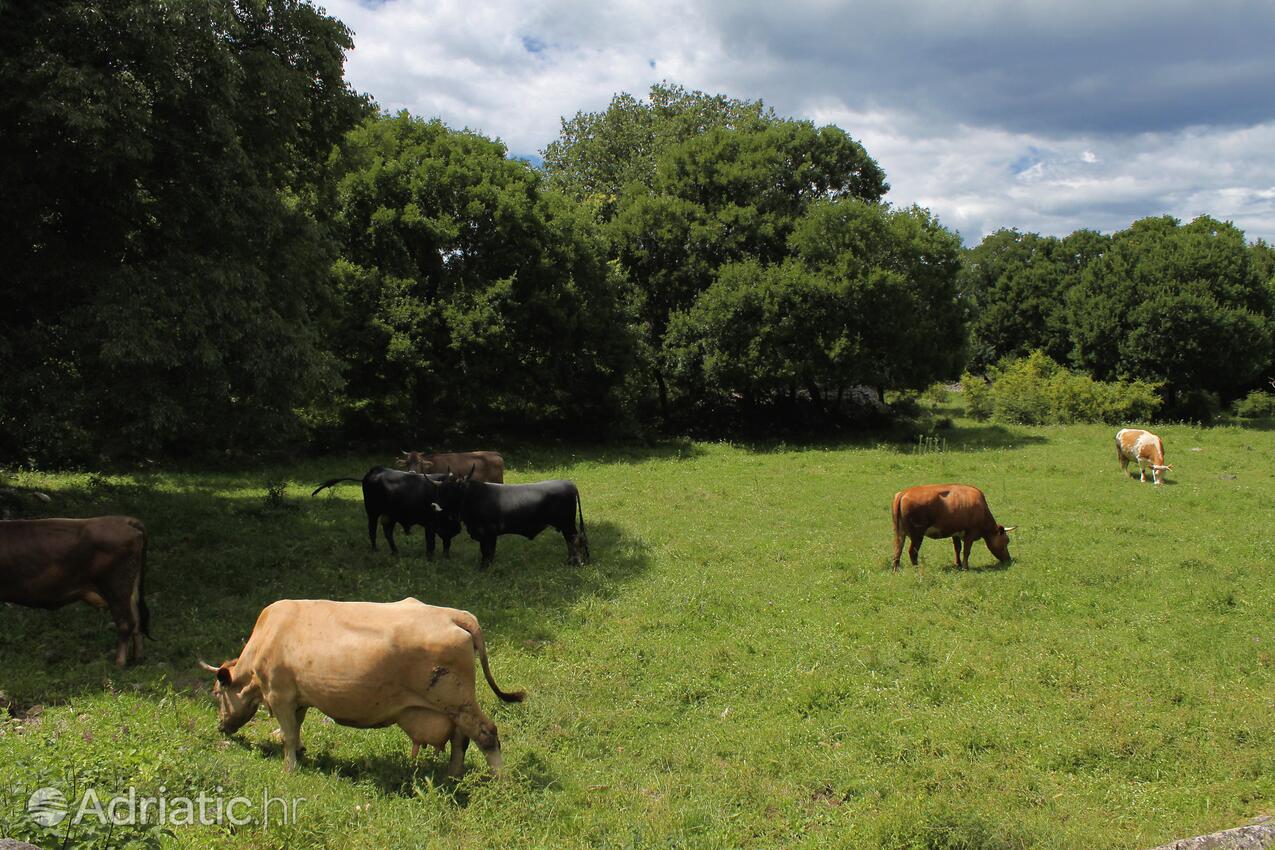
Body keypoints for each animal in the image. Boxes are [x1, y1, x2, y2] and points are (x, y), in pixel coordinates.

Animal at [0, 514, 150, 667]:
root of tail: (125, 520)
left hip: (116, 589)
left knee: (127, 623)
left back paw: (119, 662)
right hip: (129, 591)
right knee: (137, 622)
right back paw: (138, 659)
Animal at [195, 598, 522, 779]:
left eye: (216, 693)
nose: (221, 727)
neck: (268, 635)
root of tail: (454, 615)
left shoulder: (280, 695)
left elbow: (287, 734)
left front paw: (290, 768)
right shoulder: (298, 698)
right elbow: (296, 729)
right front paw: (300, 752)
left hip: (457, 701)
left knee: (485, 734)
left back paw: (501, 781)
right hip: (453, 707)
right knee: (460, 739)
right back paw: (453, 775)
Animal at [311, 466, 461, 558]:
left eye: (457, 492)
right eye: (442, 492)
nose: (437, 506)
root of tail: (374, 471)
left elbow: (446, 542)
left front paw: (446, 556)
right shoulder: (430, 524)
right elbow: (431, 542)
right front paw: (431, 556)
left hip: (390, 515)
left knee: (388, 532)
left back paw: (395, 551)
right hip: (372, 512)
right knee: (372, 530)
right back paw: (375, 550)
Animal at [430, 468, 583, 568]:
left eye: (452, 490)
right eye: (440, 490)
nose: (435, 506)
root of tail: (570, 484)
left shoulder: (490, 532)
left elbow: (489, 551)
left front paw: (486, 568)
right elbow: (484, 551)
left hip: (568, 524)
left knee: (574, 540)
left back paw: (575, 562)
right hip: (565, 525)